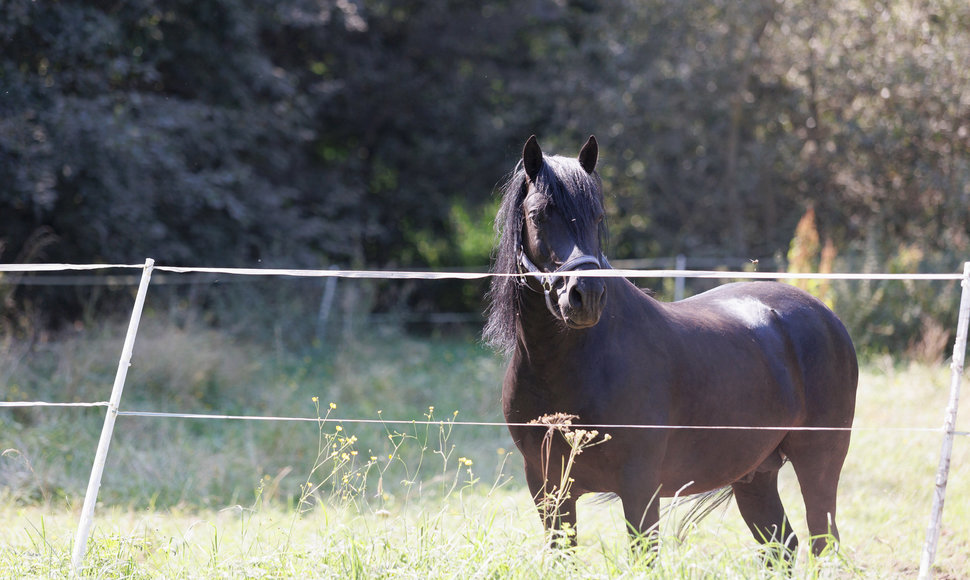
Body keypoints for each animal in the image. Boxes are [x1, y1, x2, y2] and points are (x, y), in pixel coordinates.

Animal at [482, 136, 856, 560]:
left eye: (597, 216)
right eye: (539, 214)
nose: (586, 296)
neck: (570, 366)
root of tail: (826, 315)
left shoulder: (640, 488)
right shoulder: (548, 490)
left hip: (818, 462)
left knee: (824, 543)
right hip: (755, 476)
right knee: (784, 548)